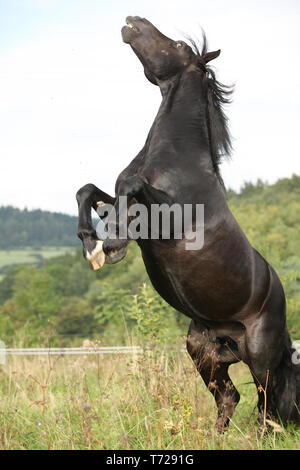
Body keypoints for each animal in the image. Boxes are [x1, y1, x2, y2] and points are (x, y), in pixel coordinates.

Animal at [76, 16, 298, 432]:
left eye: (177, 45)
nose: (133, 21)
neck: (176, 159)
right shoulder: (127, 208)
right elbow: (90, 191)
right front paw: (91, 244)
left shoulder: (168, 217)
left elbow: (128, 187)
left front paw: (111, 246)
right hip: (203, 349)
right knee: (230, 397)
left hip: (260, 355)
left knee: (266, 405)